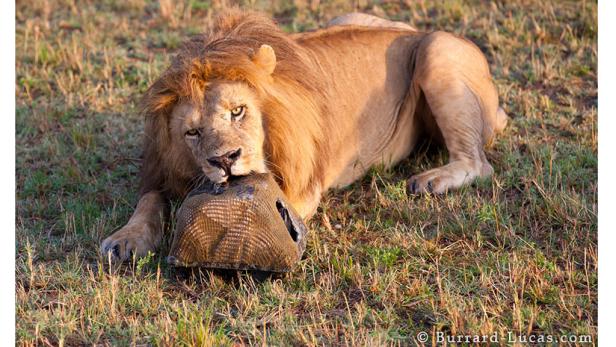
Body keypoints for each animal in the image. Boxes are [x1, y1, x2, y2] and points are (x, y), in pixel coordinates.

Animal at [100, 9, 506, 262]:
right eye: (193, 132)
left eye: (238, 111)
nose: (225, 161)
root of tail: (415, 31)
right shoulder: (163, 168)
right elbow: (149, 202)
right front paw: (125, 239)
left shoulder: (303, 189)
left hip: (437, 49)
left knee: (477, 163)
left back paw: (430, 181)